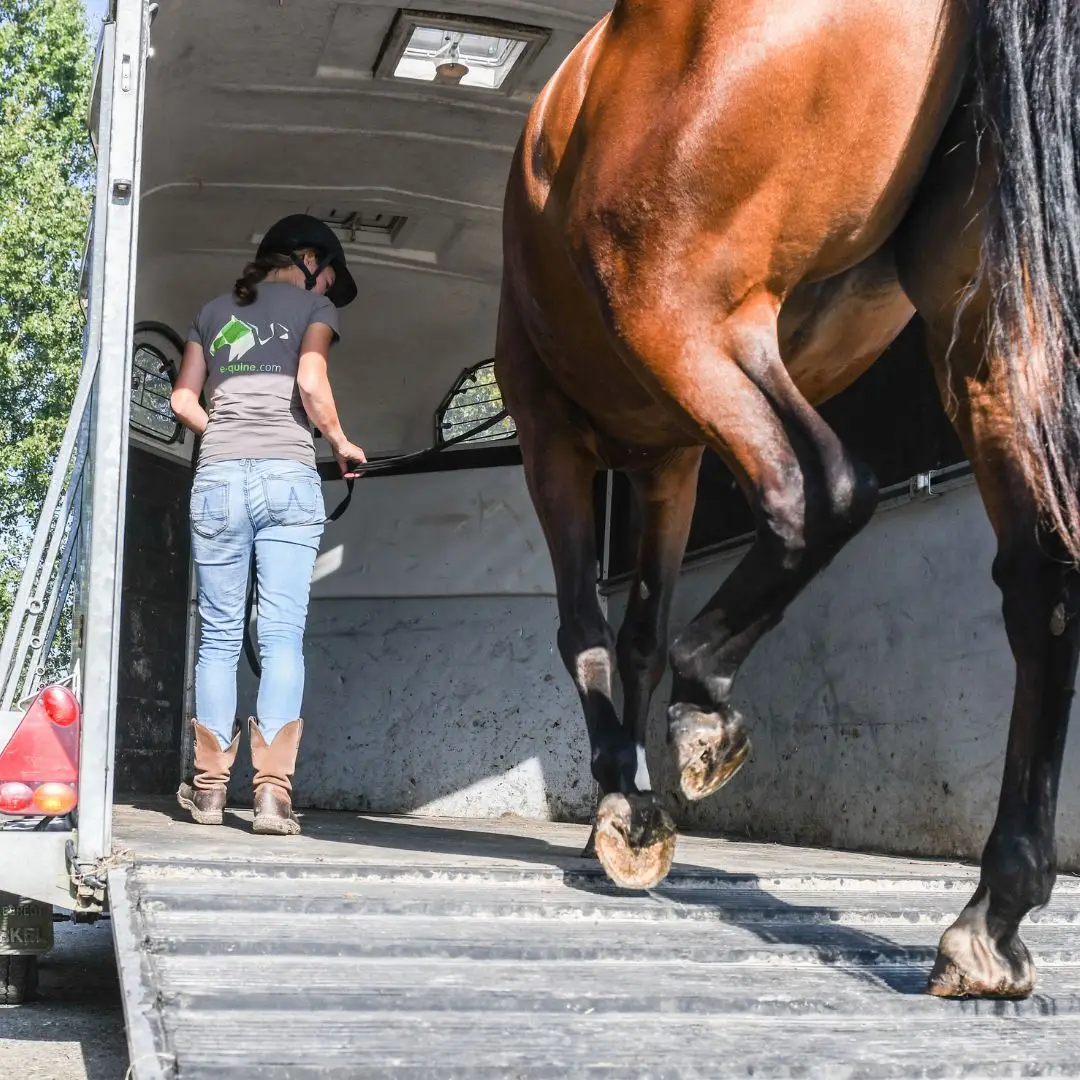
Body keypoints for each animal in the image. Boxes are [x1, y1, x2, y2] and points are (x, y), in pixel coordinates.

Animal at [494, 0, 1080, 999]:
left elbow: (587, 633)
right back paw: (991, 918)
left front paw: (620, 805)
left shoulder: (551, 440)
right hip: (976, 328)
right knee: (1038, 575)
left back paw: (706, 702)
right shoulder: (671, 466)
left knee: (823, 492)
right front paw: (631, 800)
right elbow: (636, 636)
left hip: (687, 311)